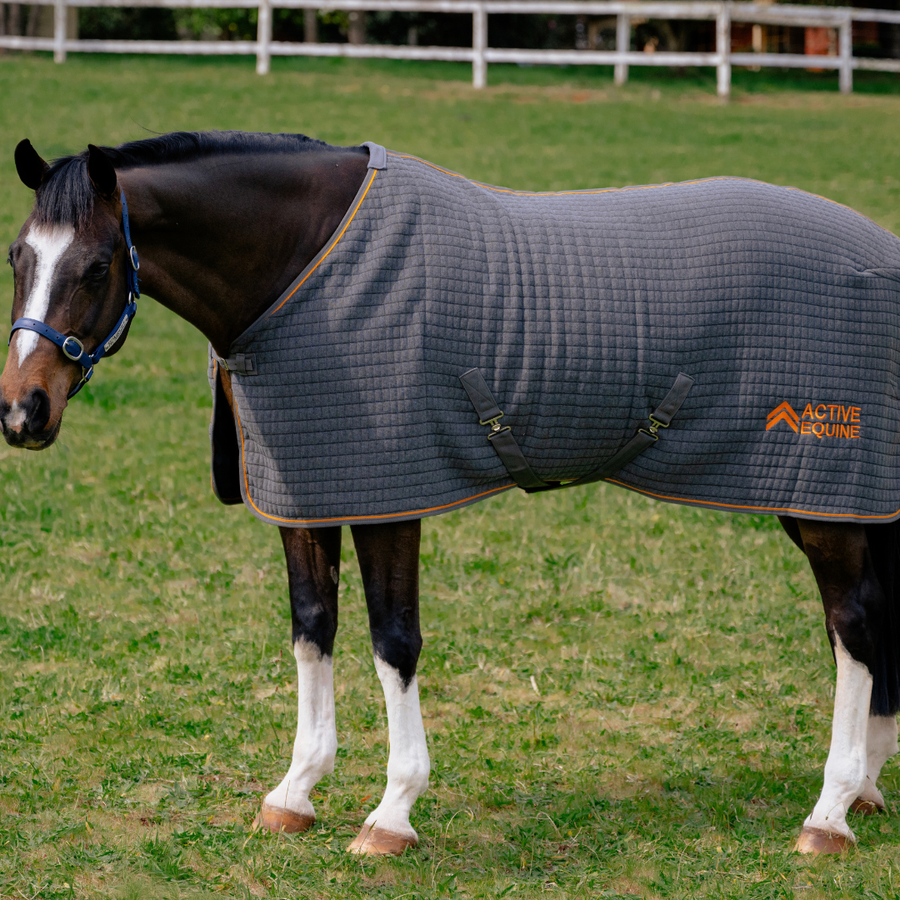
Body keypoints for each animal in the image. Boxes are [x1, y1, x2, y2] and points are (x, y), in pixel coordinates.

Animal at [2, 131, 900, 858]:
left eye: (96, 265)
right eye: (18, 257)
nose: (22, 411)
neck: (307, 267)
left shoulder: (392, 496)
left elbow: (393, 642)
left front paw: (391, 813)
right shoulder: (311, 491)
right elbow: (312, 633)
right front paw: (296, 793)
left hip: (823, 495)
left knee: (854, 625)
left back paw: (828, 814)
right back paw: (865, 789)